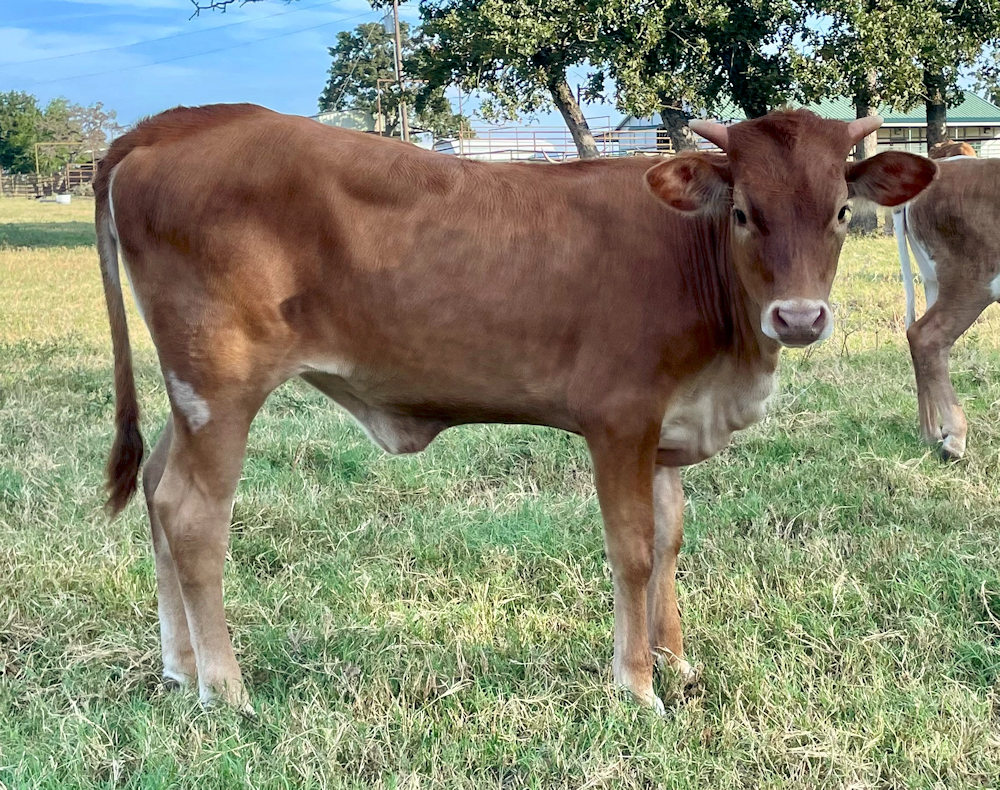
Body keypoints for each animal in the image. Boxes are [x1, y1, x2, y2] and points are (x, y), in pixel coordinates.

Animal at [94, 104, 935, 714]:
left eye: (838, 212)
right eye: (744, 214)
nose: (799, 318)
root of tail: (180, 121)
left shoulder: (667, 430)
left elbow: (669, 541)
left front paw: (676, 660)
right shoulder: (620, 420)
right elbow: (632, 551)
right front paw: (636, 687)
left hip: (189, 395)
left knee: (158, 491)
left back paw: (179, 669)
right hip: (222, 384)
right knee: (193, 516)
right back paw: (224, 690)